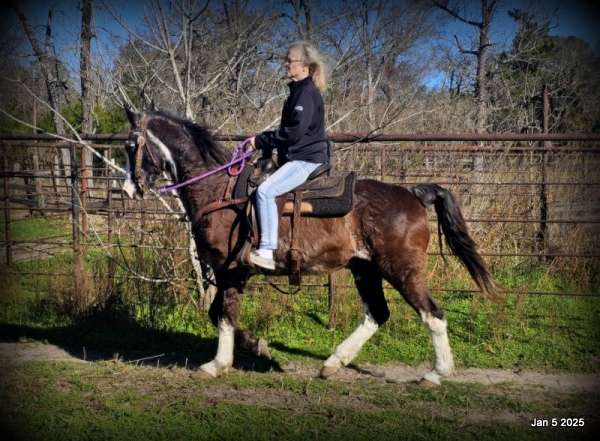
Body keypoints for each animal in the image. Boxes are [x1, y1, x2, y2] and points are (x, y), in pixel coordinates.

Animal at [122, 108, 496, 384]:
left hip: (401, 269)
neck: (219, 191)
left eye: (129, 145)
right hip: (365, 269)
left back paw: (437, 373)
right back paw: (333, 363)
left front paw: (219, 363)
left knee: (433, 314)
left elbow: (223, 315)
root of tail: (414, 193)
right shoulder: (234, 273)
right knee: (377, 313)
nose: (128, 189)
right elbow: (218, 314)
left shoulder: (230, 270)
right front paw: (257, 347)